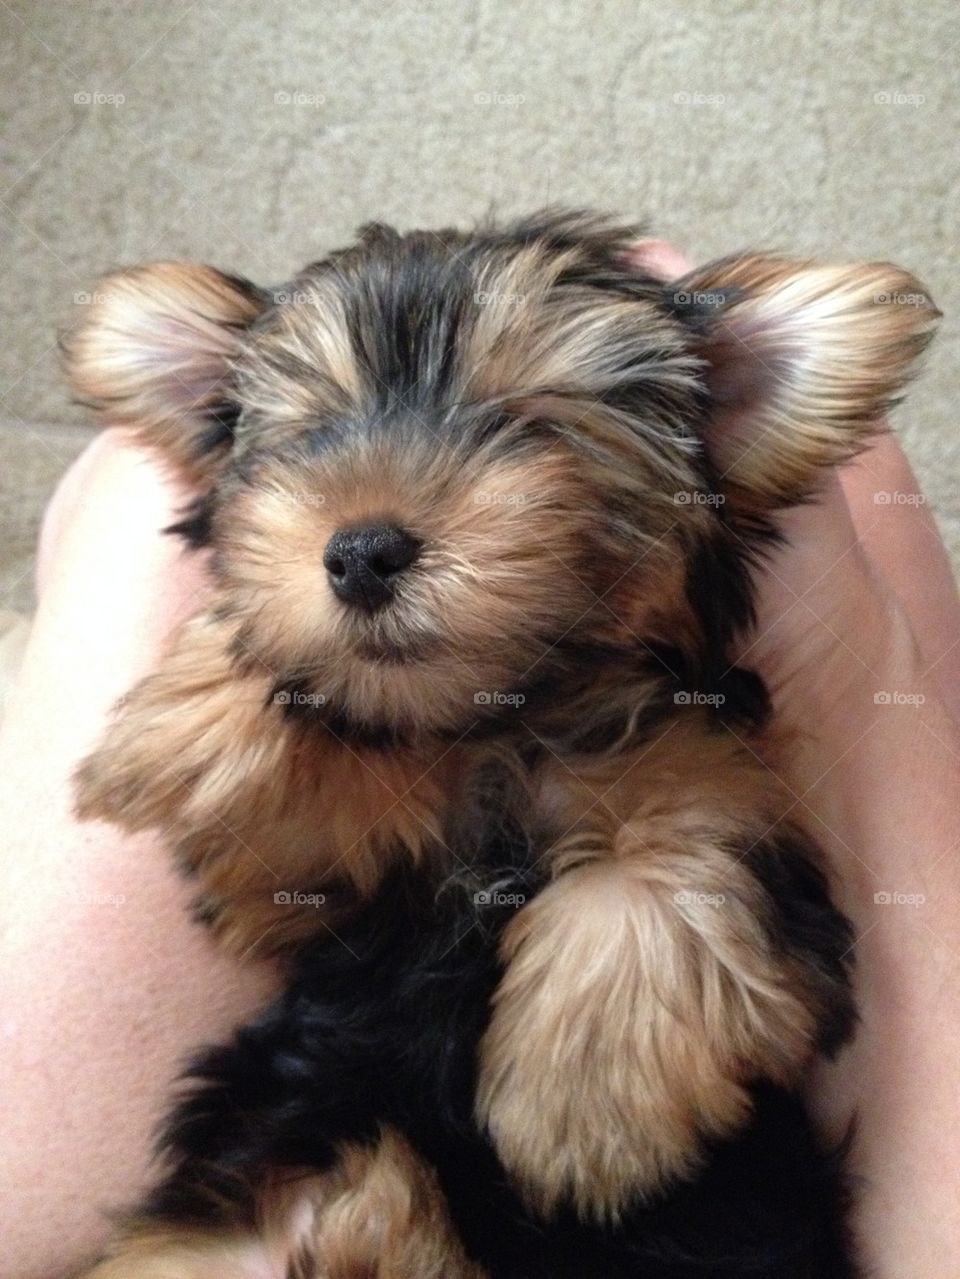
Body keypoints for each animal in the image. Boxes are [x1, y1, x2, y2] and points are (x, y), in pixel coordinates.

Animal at [65, 214, 940, 1273]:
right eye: (312, 439)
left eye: (529, 427)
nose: (361, 551)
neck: (495, 726)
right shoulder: (292, 893)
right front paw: (209, 706)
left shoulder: (728, 774)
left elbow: (688, 837)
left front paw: (583, 1108)